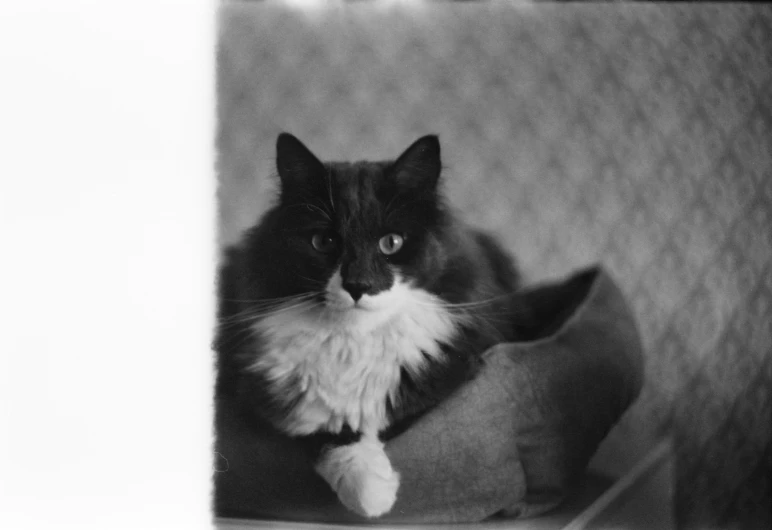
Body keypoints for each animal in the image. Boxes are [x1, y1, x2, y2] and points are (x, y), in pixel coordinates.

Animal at [216, 132, 532, 516]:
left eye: (391, 243)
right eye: (323, 242)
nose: (358, 285)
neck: (352, 344)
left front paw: (374, 495)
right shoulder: (270, 398)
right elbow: (332, 431)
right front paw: (371, 493)